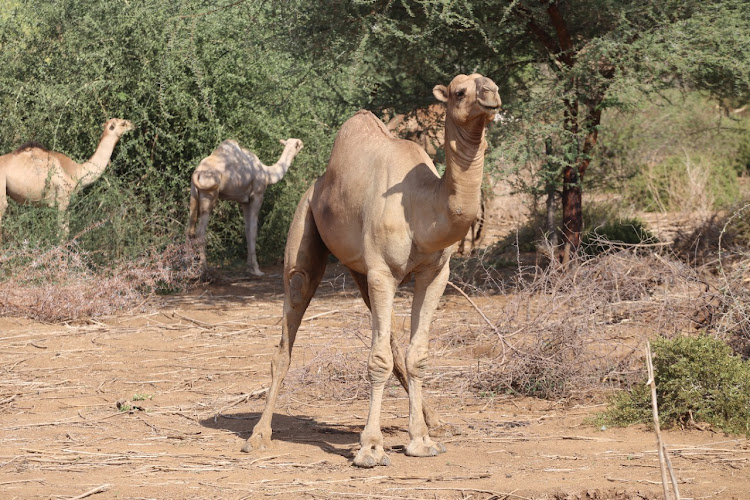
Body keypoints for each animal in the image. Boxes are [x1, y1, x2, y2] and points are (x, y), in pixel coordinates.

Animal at [0, 117, 134, 242]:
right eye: (122, 123)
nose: (133, 124)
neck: (78, 171)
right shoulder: (62, 199)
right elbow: (61, 233)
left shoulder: (69, 202)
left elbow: (66, 231)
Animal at [187, 139, 304, 276]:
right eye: (297, 143)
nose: (302, 143)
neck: (267, 173)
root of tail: (198, 172)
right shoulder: (257, 195)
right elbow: (253, 230)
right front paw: (257, 270)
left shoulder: (245, 201)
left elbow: (247, 230)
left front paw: (249, 268)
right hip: (209, 195)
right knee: (200, 232)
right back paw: (204, 269)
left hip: (193, 195)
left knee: (190, 230)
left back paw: (190, 270)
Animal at [241, 74, 500, 468]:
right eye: (459, 91)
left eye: (490, 82)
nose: (491, 94)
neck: (421, 206)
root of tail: (317, 183)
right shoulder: (382, 272)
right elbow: (377, 359)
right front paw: (370, 448)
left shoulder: (435, 273)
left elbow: (416, 355)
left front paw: (421, 440)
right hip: (306, 228)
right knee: (289, 325)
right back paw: (258, 435)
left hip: (361, 273)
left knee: (392, 344)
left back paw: (437, 422)